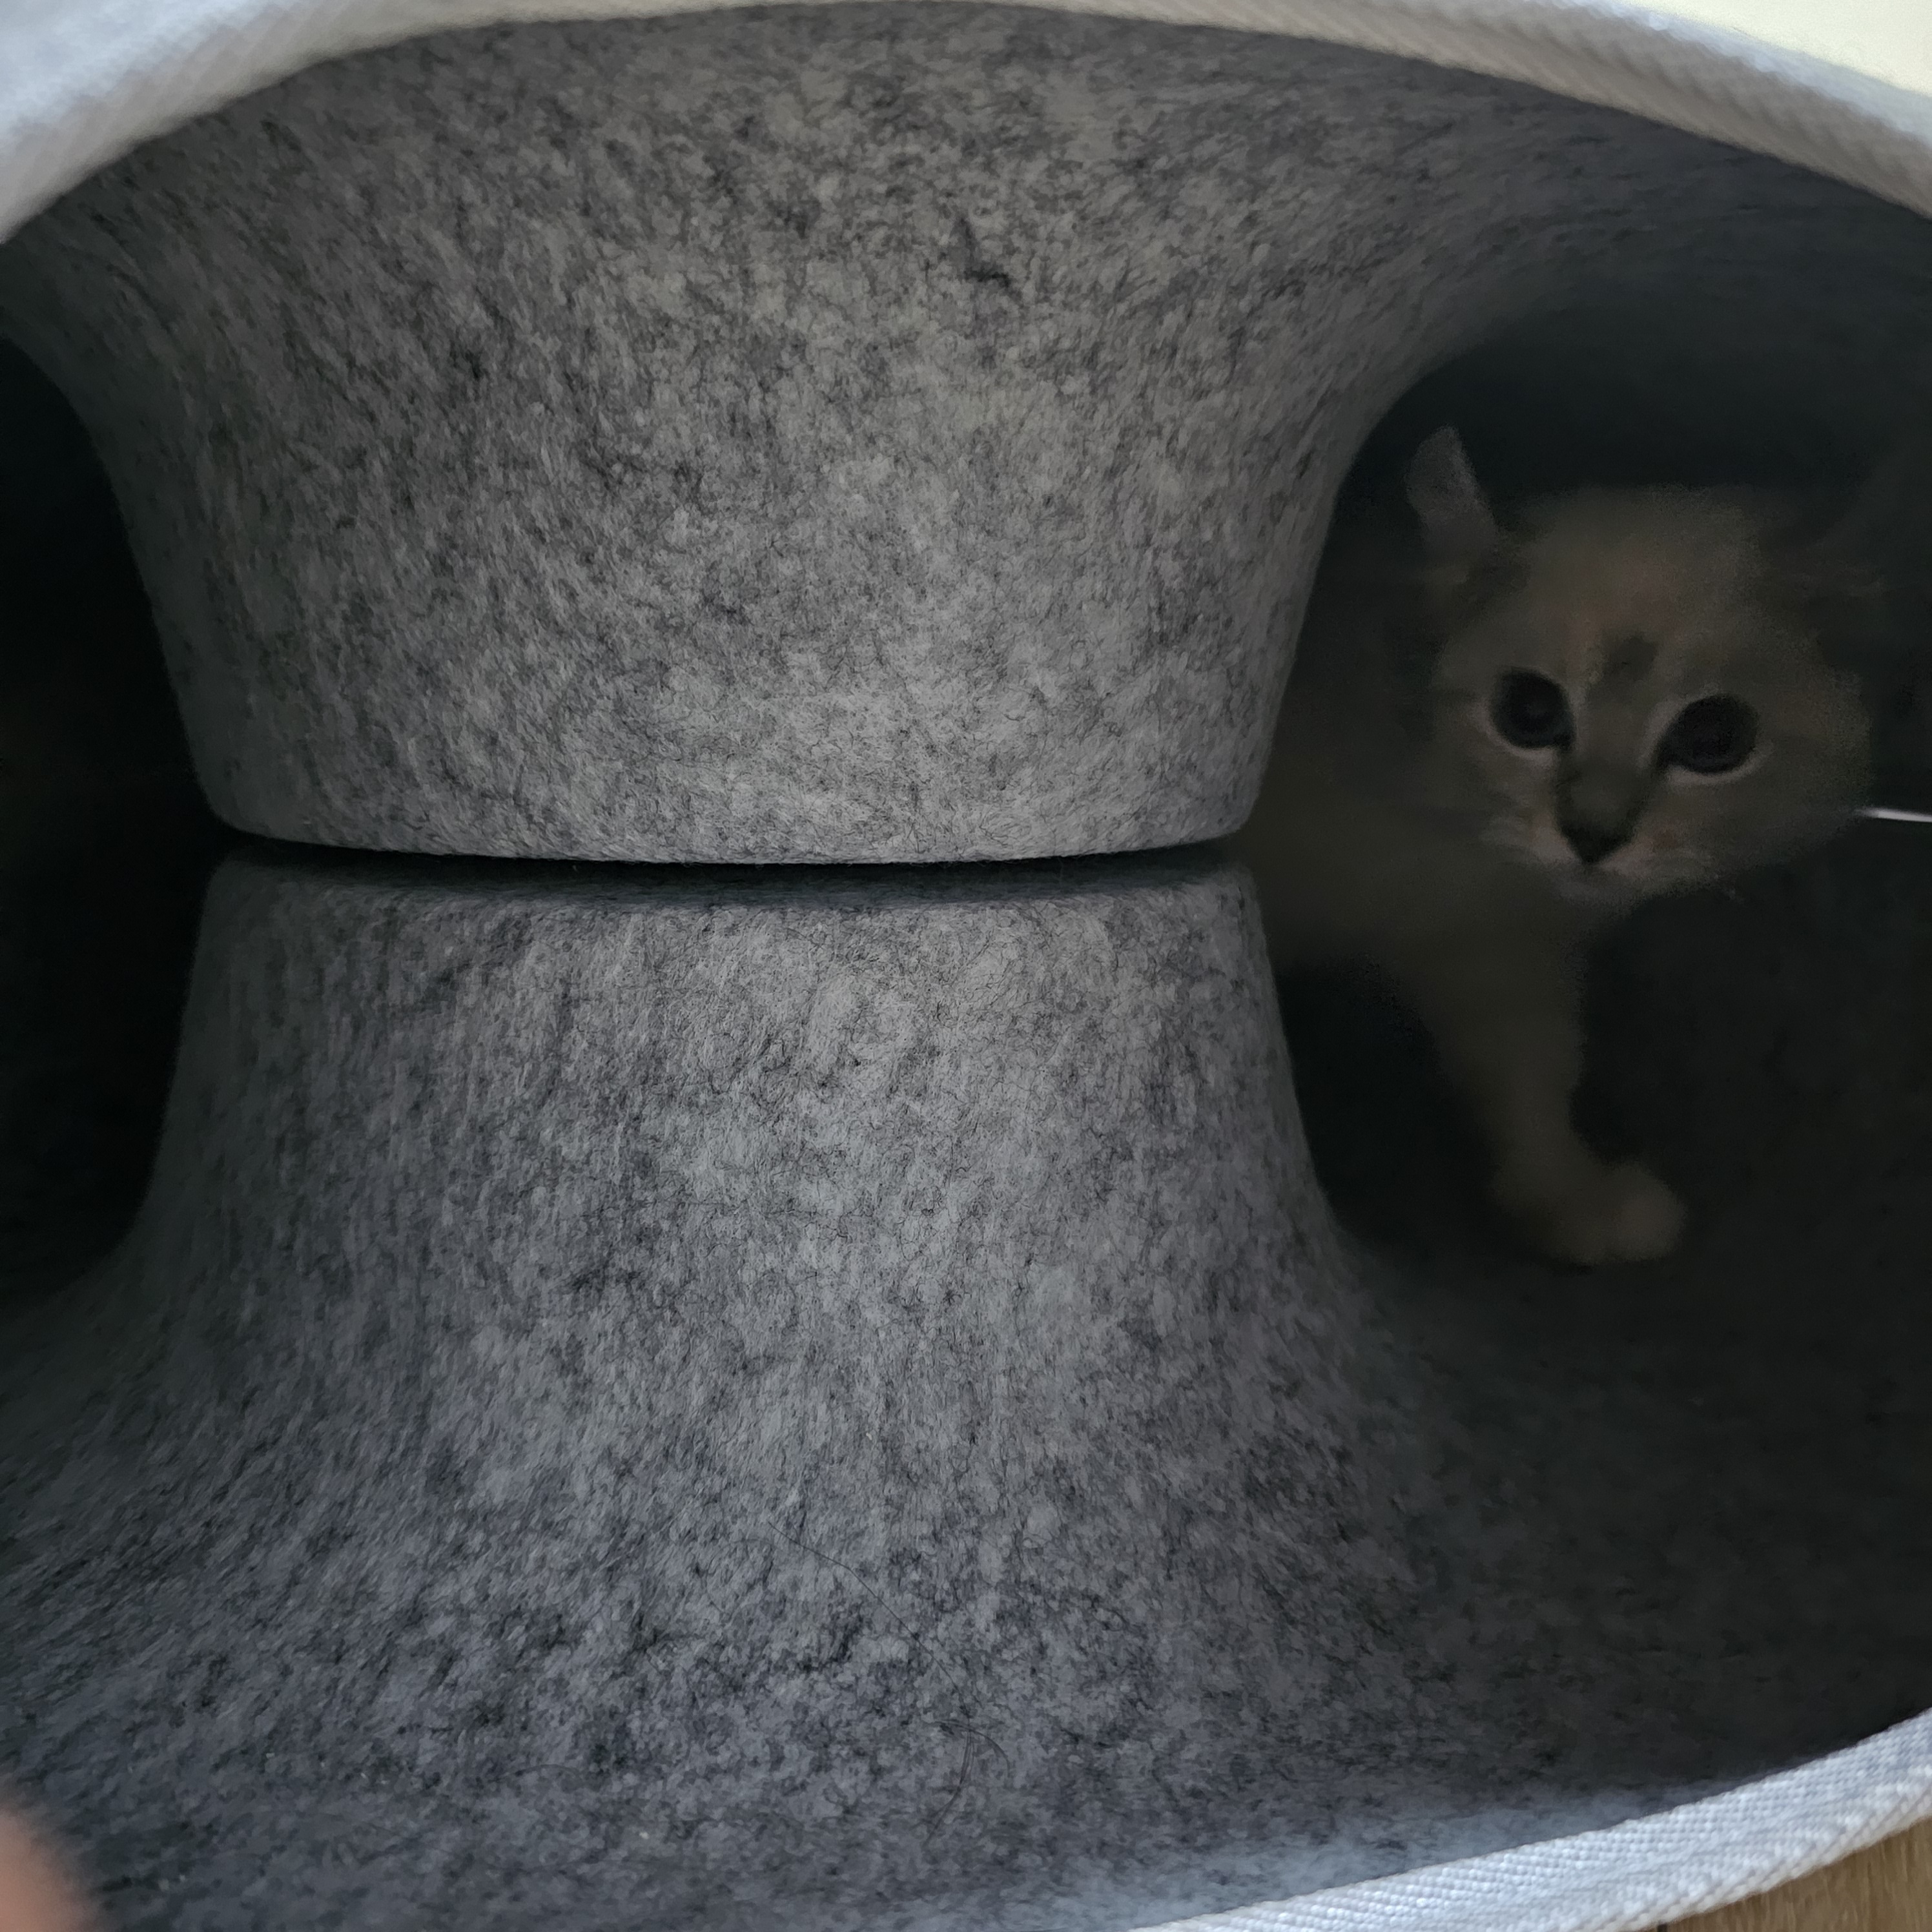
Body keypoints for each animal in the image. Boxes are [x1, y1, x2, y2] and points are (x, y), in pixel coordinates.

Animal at [1232, 426, 1909, 1267]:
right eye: (1527, 711)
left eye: (1714, 738)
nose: (1591, 836)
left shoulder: (1493, 954)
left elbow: (1532, 1083)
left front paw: (1571, 1204)